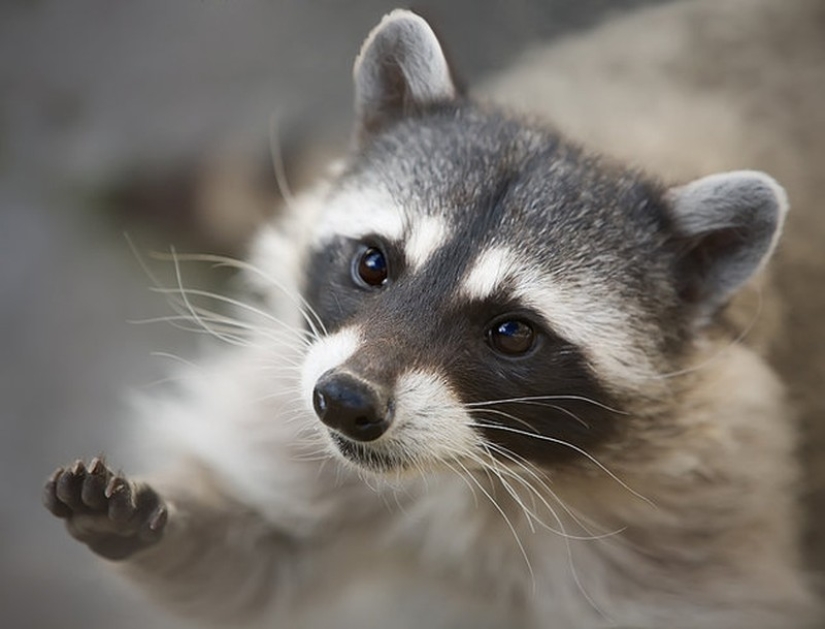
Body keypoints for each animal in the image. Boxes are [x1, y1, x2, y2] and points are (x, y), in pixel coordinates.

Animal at [43, 5, 823, 629]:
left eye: (512, 331)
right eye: (373, 264)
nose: (344, 401)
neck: (470, 471)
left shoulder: (701, 522)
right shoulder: (300, 425)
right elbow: (253, 564)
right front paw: (156, 525)